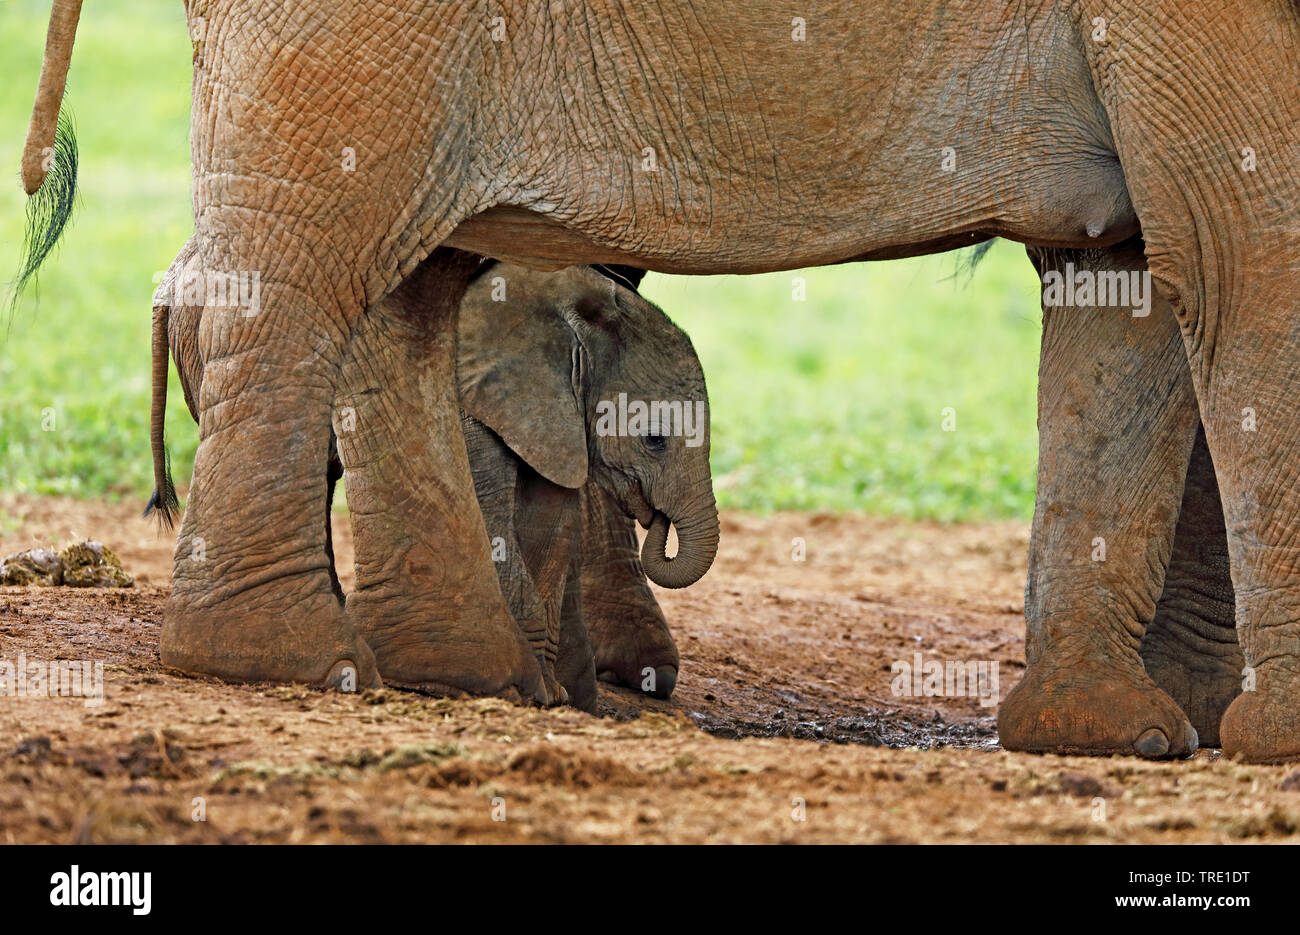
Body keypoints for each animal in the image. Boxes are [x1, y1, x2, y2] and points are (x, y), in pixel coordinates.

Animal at [153, 248, 722, 707]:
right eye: (653, 438)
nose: (657, 519)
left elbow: (553, 521)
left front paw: (553, 690)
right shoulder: (472, 395)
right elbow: (495, 518)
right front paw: (537, 690)